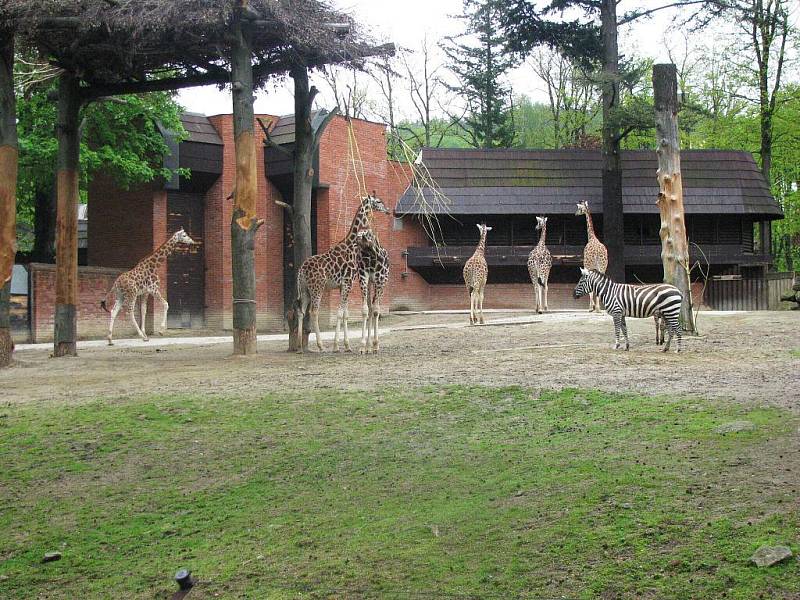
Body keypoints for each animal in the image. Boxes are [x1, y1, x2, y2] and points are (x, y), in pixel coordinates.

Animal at [296, 193, 390, 352]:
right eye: (378, 201)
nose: (388, 210)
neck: (350, 244)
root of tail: (301, 271)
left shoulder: (343, 285)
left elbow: (345, 313)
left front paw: (346, 345)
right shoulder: (347, 282)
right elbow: (340, 313)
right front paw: (336, 346)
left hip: (304, 290)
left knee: (301, 311)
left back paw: (299, 347)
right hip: (317, 288)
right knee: (313, 312)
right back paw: (321, 346)